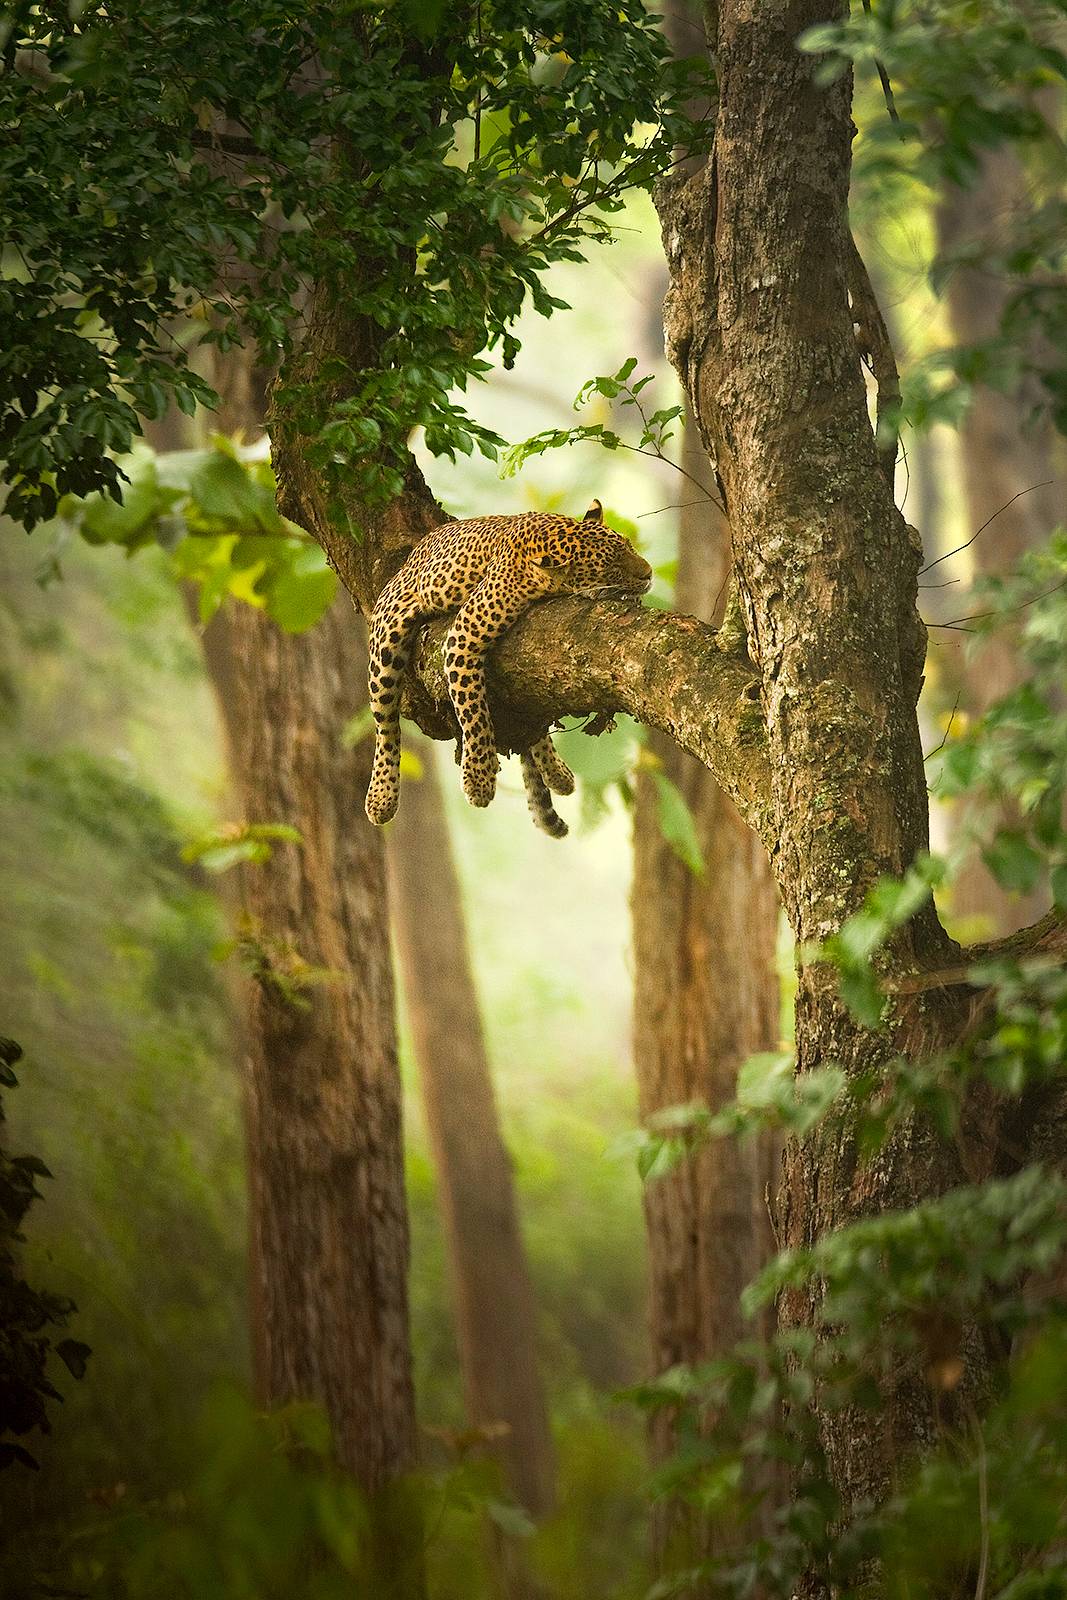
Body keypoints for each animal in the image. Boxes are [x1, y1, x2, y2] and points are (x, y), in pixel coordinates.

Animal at [365, 500, 652, 837]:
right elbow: (473, 711)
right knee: (385, 723)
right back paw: (381, 798)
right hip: (387, 636)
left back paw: (557, 773)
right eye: (612, 567)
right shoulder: (463, 635)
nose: (648, 573)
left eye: (630, 546)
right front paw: (479, 779)